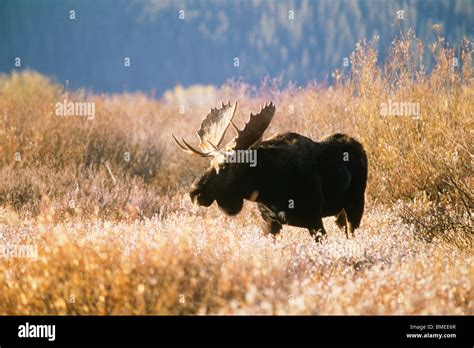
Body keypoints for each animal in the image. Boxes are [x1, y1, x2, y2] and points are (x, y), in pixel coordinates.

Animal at [172, 102, 368, 241]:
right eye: (210, 163)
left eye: (225, 165)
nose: (194, 192)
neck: (271, 187)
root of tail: (360, 147)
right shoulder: (269, 223)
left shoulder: (314, 219)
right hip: (338, 211)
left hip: (356, 202)